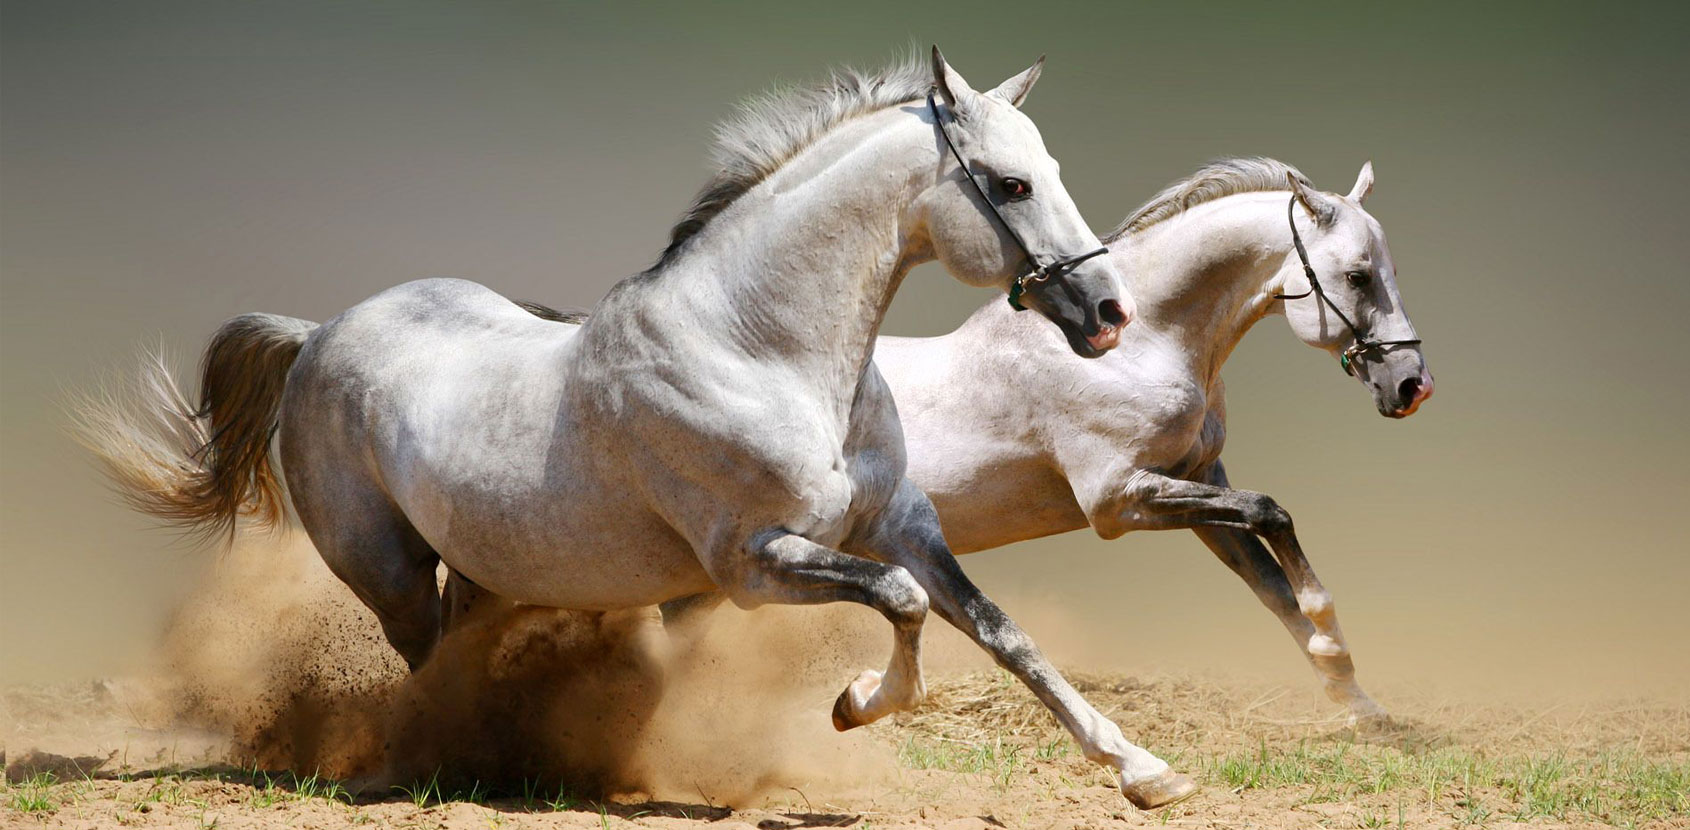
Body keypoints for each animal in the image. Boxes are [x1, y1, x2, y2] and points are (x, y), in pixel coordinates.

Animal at [78, 50, 1206, 808]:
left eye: (1049, 168)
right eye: (1011, 184)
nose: (1108, 312)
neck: (760, 349)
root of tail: (317, 334)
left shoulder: (901, 525)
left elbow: (1001, 632)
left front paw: (1146, 771)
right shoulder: (752, 563)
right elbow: (902, 606)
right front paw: (853, 702)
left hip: (486, 568)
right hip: (386, 568)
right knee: (424, 663)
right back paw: (438, 761)